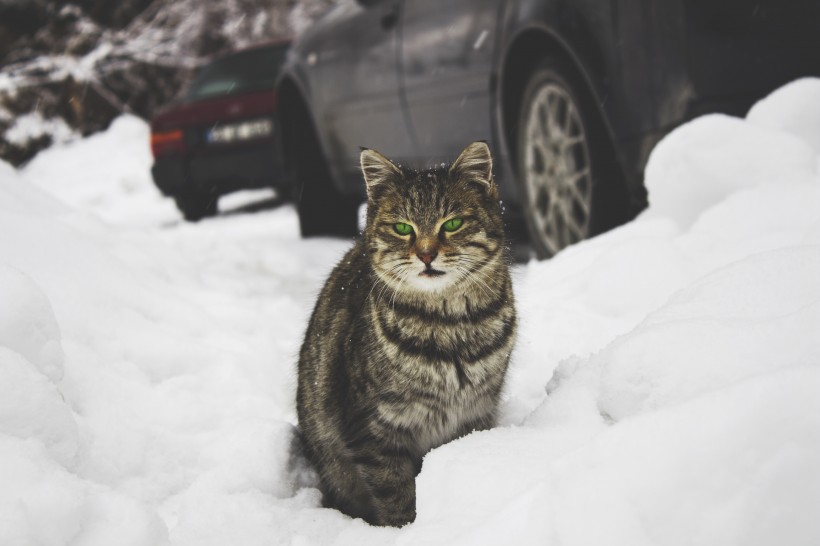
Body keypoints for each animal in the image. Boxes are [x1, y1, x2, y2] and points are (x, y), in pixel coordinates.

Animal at [296, 142, 520, 524]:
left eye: (452, 223)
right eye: (403, 228)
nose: (426, 254)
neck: (451, 325)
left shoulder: (475, 412)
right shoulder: (373, 429)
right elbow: (396, 495)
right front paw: (407, 529)